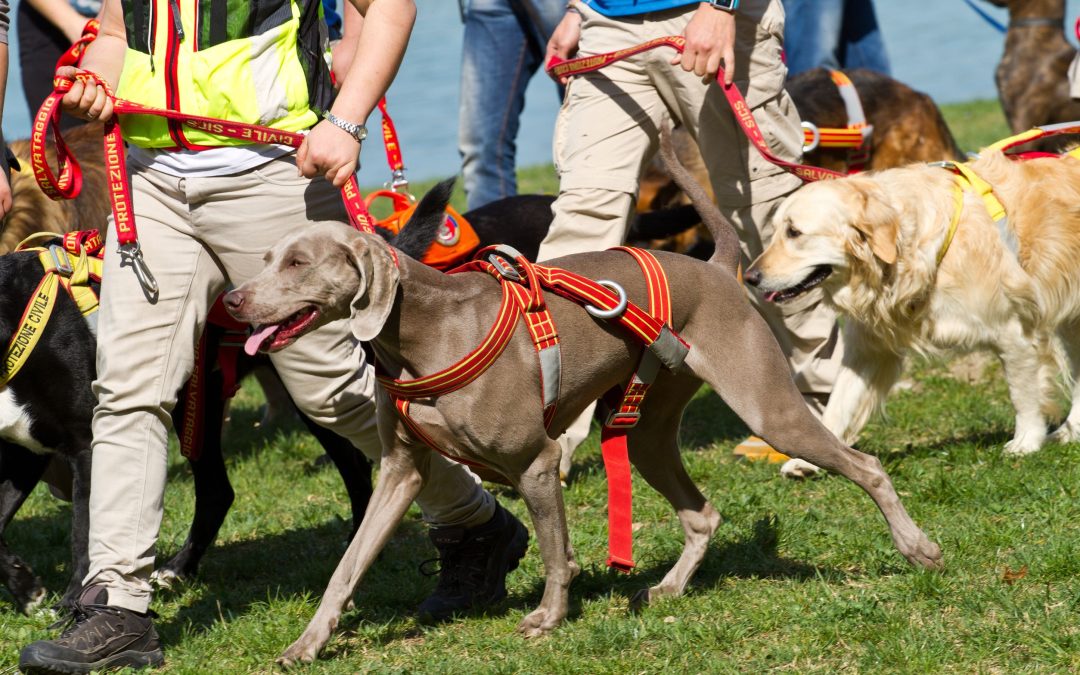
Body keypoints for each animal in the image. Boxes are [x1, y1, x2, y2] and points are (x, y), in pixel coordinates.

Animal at [230, 127, 946, 665]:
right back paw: (668, 587)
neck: (426, 333)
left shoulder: (537, 462)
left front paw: (548, 616)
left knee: (865, 465)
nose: (233, 302)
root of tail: (716, 267)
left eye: (298, 263)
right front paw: (307, 643)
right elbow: (347, 566)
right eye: (266, 259)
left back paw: (918, 548)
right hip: (647, 426)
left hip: (767, 405)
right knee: (702, 514)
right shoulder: (402, 470)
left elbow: (556, 553)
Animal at [747, 149, 1080, 473]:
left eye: (794, 232)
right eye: (775, 231)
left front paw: (1025, 442)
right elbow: (838, 405)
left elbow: (1023, 394)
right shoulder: (867, 349)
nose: (750, 277)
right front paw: (809, 460)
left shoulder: (1013, 330)